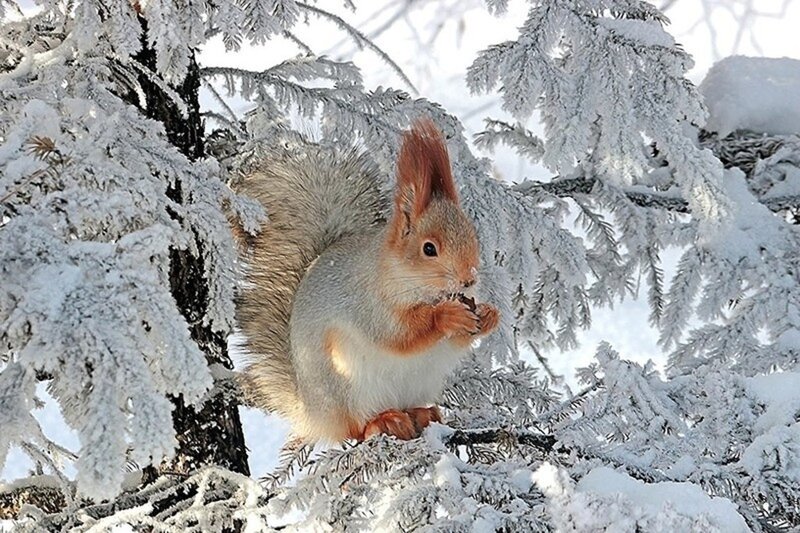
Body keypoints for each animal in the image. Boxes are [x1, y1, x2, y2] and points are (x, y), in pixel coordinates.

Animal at [236, 118, 499, 442]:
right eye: (429, 249)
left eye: (473, 236)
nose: (469, 280)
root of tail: (313, 412)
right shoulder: (366, 303)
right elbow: (399, 334)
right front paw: (446, 316)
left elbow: (454, 342)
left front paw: (488, 315)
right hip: (349, 387)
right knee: (355, 428)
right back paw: (384, 421)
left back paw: (422, 414)